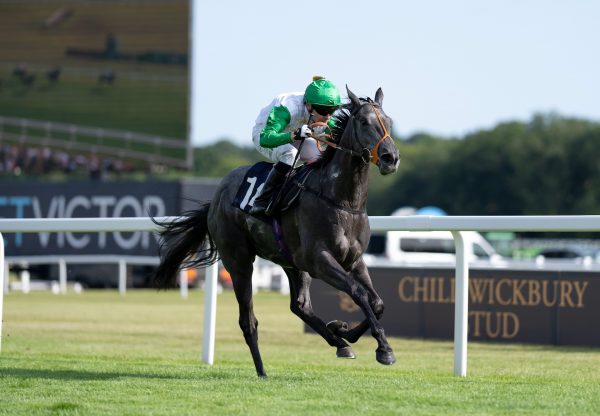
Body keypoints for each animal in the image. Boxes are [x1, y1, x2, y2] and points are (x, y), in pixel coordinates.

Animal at [152, 88, 400, 376]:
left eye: (389, 121)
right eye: (363, 122)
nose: (390, 158)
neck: (342, 202)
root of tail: (216, 198)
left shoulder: (354, 260)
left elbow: (377, 302)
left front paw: (344, 330)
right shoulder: (320, 260)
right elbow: (358, 293)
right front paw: (384, 349)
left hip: (291, 262)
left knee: (300, 305)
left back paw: (338, 341)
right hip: (239, 262)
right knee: (248, 320)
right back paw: (262, 370)